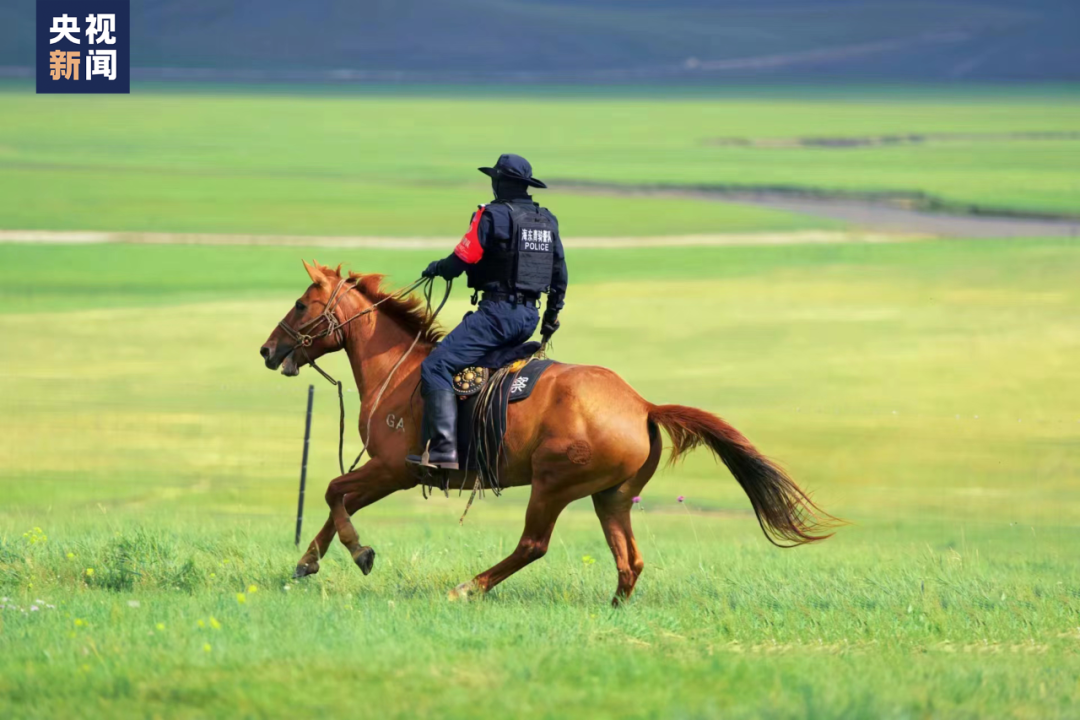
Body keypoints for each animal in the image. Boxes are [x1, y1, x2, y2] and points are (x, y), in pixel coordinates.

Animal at [259, 262, 833, 604]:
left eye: (302, 304)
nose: (267, 350)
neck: (399, 371)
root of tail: (642, 406)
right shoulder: (386, 473)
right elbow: (340, 502)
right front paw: (307, 562)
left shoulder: (395, 469)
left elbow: (335, 493)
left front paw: (360, 555)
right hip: (611, 497)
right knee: (629, 561)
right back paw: (614, 610)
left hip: (551, 485)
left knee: (533, 544)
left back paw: (468, 588)